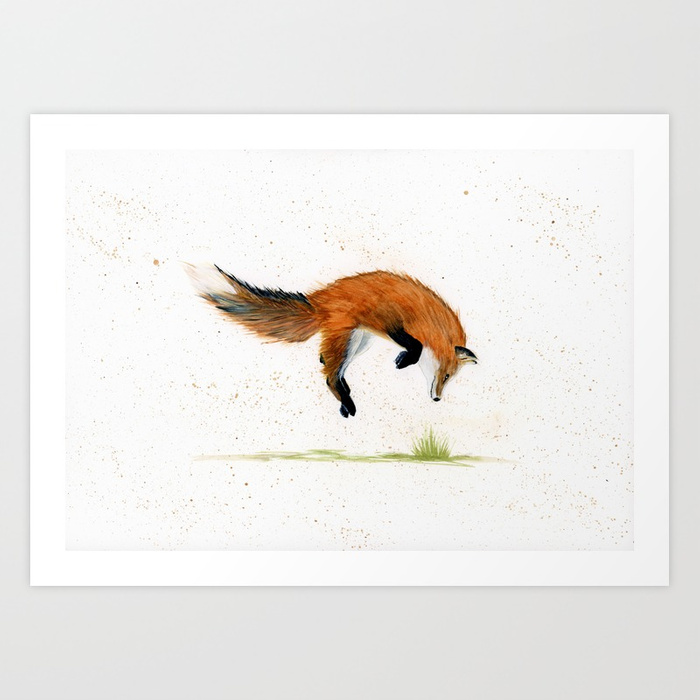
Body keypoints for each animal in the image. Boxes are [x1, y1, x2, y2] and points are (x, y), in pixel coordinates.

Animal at [186, 264, 478, 417]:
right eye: (447, 375)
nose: (437, 399)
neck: (427, 317)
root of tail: (318, 300)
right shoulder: (390, 321)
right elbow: (414, 346)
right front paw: (403, 361)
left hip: (359, 341)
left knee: (328, 365)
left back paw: (343, 392)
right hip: (349, 338)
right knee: (329, 375)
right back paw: (348, 403)